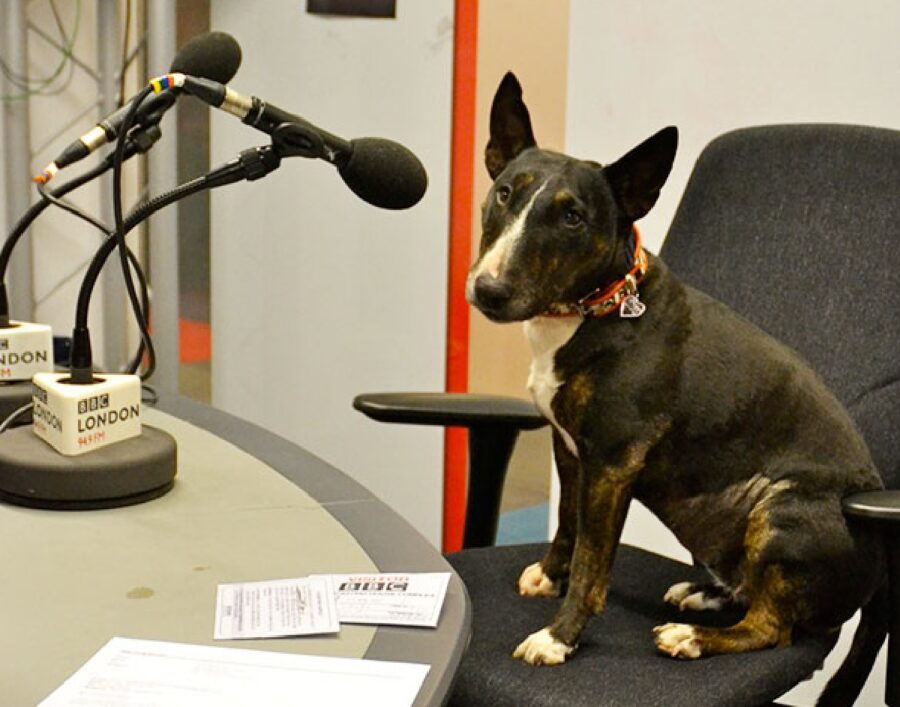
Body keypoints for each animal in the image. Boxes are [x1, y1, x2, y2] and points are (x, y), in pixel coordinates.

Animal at [468, 73, 888, 704]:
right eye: (503, 194)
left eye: (573, 218)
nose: (488, 290)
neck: (597, 307)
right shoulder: (570, 449)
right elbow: (566, 521)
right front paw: (549, 574)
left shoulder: (612, 463)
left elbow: (594, 564)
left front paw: (559, 638)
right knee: (748, 590)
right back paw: (704, 593)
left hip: (779, 507)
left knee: (772, 627)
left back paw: (691, 637)